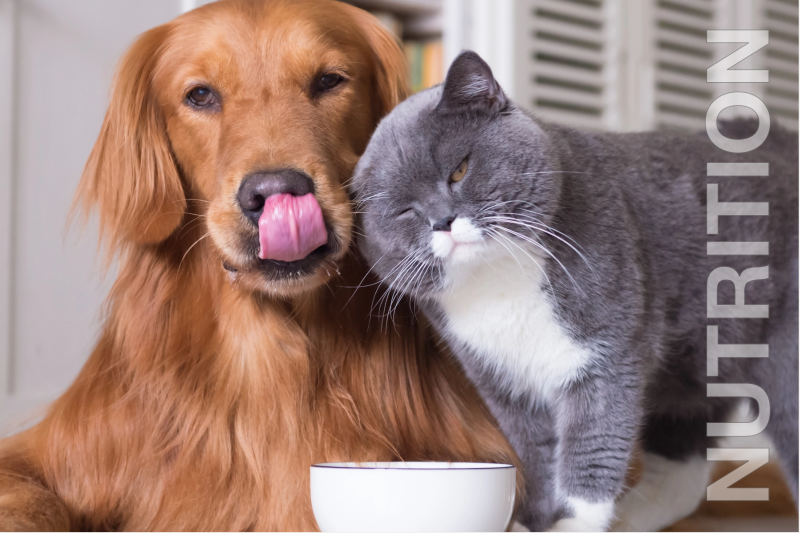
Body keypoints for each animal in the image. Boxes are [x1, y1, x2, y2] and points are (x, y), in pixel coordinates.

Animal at [354, 51, 796, 532]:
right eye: (405, 211)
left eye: (460, 170)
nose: (442, 221)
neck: (498, 283)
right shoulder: (504, 384)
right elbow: (536, 457)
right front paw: (534, 521)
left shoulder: (607, 354)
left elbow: (593, 444)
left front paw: (573, 523)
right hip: (692, 373)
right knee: (684, 468)